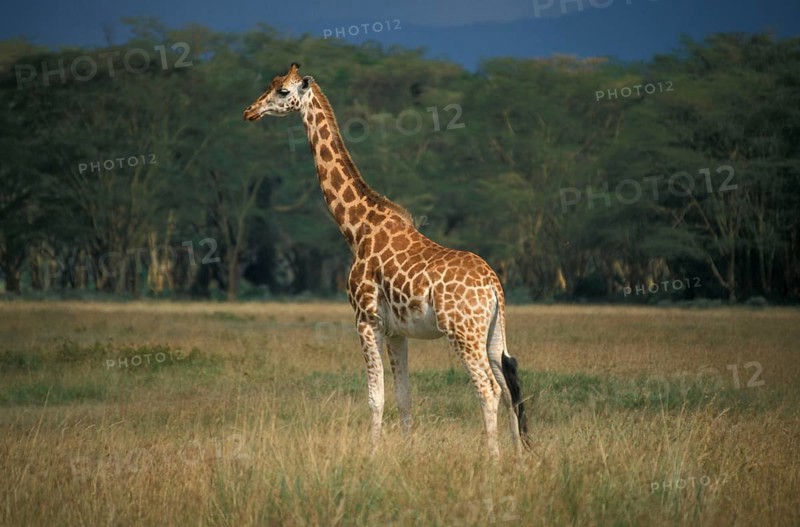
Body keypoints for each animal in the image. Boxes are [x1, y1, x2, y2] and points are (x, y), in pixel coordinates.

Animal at [244, 63, 530, 458]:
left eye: (282, 91)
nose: (249, 111)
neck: (357, 227)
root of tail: (493, 287)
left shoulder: (366, 320)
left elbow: (375, 397)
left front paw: (372, 455)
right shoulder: (397, 330)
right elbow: (404, 396)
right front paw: (407, 453)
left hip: (463, 332)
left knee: (489, 389)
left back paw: (493, 460)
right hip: (493, 333)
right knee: (509, 386)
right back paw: (519, 458)